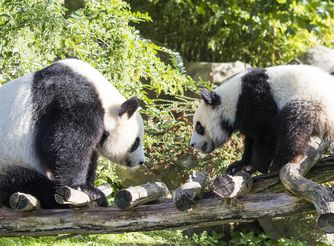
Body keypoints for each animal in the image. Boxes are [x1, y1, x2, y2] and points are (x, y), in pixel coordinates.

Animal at [0, 58, 146, 209]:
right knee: (25, 181)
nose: (141, 161)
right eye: (136, 142)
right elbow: (66, 146)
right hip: (8, 160)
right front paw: (84, 188)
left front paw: (89, 185)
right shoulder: (72, 101)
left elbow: (89, 155)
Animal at [190, 64, 334, 174]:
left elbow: (266, 136)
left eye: (198, 127)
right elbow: (251, 139)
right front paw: (239, 165)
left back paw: (282, 162)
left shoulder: (258, 101)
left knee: (293, 127)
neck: (233, 100)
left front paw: (256, 166)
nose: (192, 144)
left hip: (311, 103)